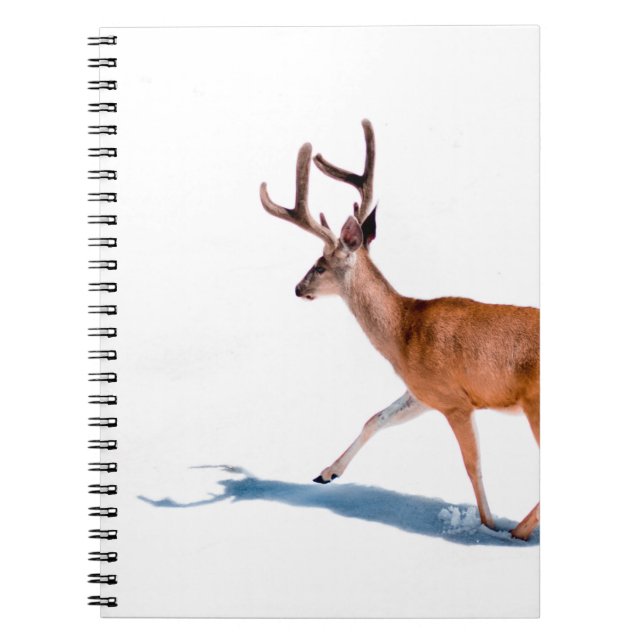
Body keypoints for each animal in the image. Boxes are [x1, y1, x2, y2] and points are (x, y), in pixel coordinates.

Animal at [259, 120, 540, 540]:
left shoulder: (454, 399)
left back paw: (518, 530)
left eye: (320, 266)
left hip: (535, 403)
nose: (297, 288)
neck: (404, 332)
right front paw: (327, 472)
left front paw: (488, 524)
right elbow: (376, 417)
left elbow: (473, 466)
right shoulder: (423, 391)